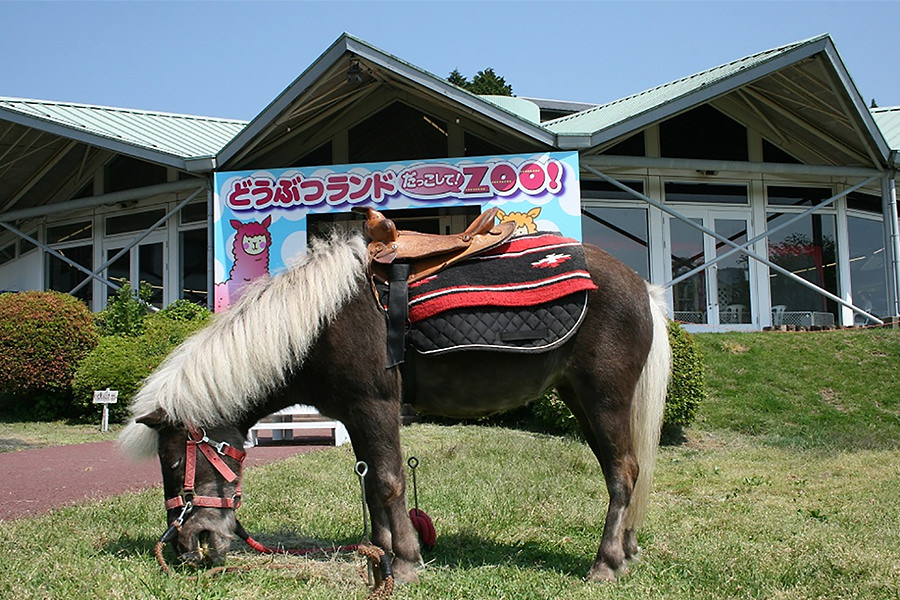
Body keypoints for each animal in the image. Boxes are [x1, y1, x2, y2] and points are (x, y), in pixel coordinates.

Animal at [118, 227, 668, 584]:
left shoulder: (376, 405)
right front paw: (379, 555)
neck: (320, 322)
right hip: (582, 399)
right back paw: (627, 550)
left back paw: (605, 564)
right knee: (627, 471)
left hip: (604, 398)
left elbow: (387, 481)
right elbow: (370, 487)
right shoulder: (355, 413)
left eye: (173, 463)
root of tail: (643, 288)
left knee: (622, 473)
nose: (187, 547)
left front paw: (404, 562)